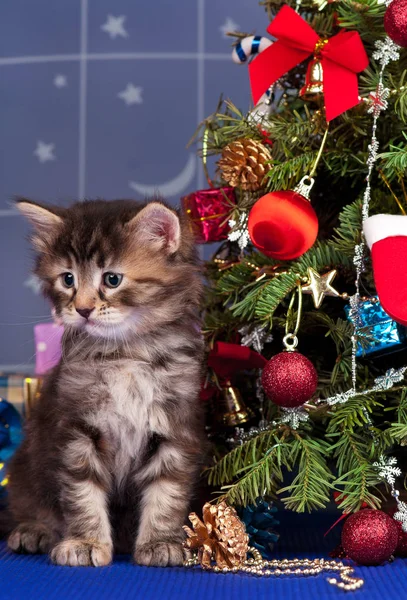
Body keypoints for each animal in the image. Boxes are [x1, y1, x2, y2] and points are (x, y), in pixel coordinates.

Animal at [6, 200, 204, 568]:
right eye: (68, 279)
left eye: (112, 279)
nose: (83, 309)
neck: (125, 354)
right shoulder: (77, 428)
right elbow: (82, 492)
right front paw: (85, 542)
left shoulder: (175, 426)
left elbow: (166, 492)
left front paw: (161, 542)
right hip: (25, 466)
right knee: (30, 505)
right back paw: (33, 531)